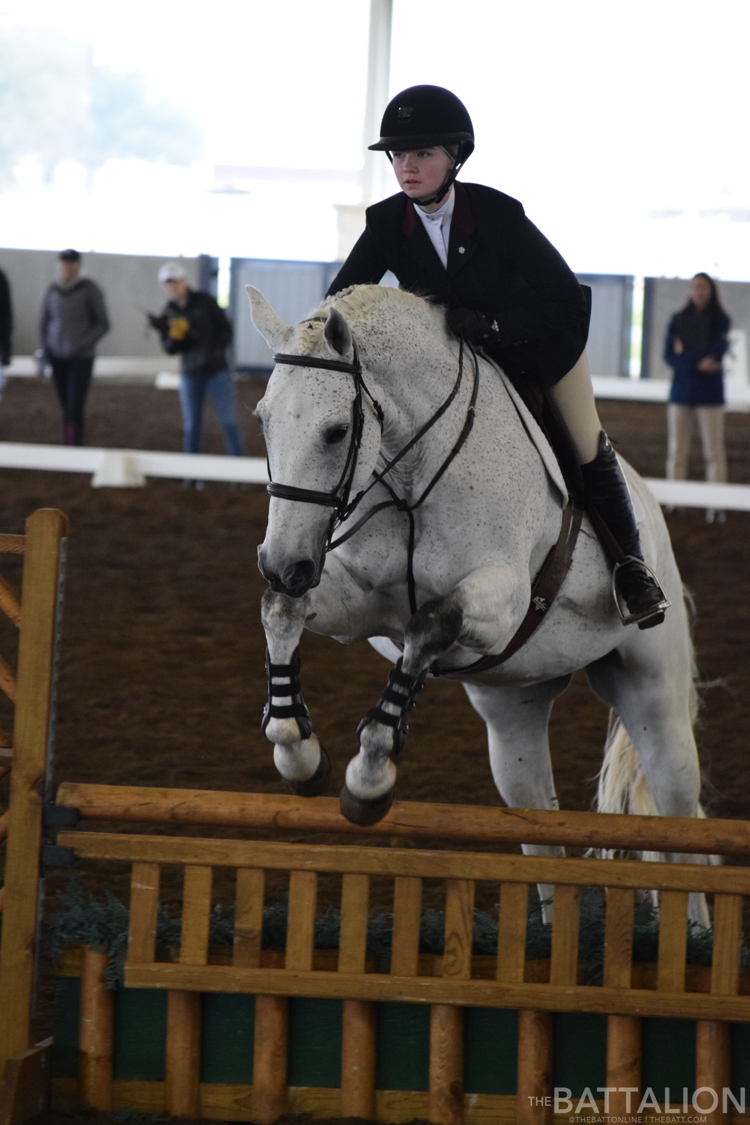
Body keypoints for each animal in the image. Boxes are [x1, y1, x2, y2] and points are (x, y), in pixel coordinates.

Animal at [249, 281, 715, 922]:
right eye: (263, 420)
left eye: (336, 432)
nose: (283, 563)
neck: (410, 472)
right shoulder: (357, 603)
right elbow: (281, 610)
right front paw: (298, 752)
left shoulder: (500, 601)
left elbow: (429, 625)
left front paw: (369, 776)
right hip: (514, 711)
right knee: (541, 831)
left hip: (654, 698)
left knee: (679, 825)